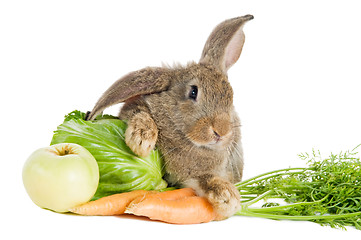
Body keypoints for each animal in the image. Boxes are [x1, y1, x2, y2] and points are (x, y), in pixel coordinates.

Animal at [85, 15, 253, 220]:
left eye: (231, 97)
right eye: (193, 92)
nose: (221, 132)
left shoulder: (193, 176)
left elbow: (205, 180)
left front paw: (229, 199)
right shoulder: (134, 108)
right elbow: (141, 114)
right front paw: (142, 142)